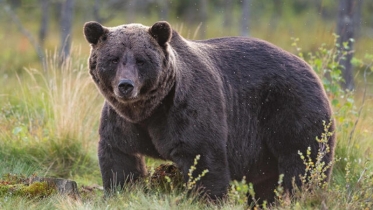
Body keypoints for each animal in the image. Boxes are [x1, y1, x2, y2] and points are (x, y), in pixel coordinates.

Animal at [83, 20, 334, 203]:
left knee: (303, 162)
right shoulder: (122, 122)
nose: (126, 85)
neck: (149, 110)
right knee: (269, 181)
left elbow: (203, 159)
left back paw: (303, 197)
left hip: (290, 108)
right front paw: (121, 192)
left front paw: (207, 198)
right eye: (113, 59)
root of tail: (311, 69)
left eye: (141, 60)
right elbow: (120, 159)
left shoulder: (186, 109)